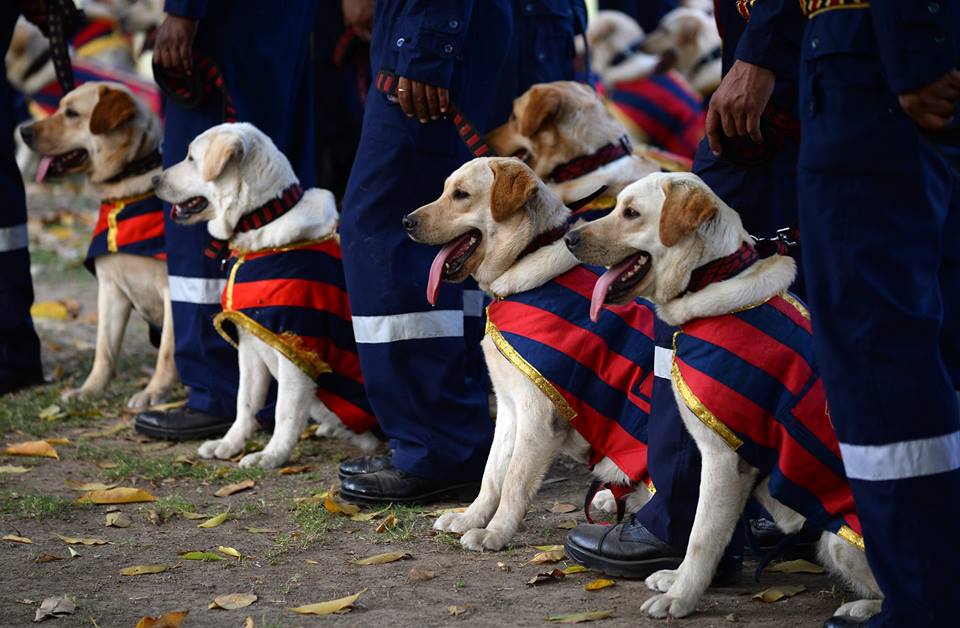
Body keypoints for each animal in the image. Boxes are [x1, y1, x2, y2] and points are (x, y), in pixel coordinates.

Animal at [20, 82, 176, 408]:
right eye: (58, 107)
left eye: (71, 114)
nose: (23, 131)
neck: (125, 194)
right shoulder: (110, 288)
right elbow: (104, 350)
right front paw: (89, 390)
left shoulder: (174, 289)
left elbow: (168, 352)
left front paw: (154, 392)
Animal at [155, 124, 378, 466]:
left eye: (192, 158)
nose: (154, 180)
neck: (262, 221)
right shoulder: (249, 342)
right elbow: (245, 402)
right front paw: (230, 444)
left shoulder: (296, 349)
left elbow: (284, 411)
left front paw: (271, 455)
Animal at [402, 159, 656, 552]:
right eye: (445, 190)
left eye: (461, 194)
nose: (406, 221)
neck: (524, 263)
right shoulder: (508, 407)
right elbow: (492, 474)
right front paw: (470, 518)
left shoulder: (538, 414)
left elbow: (514, 481)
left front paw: (495, 533)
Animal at [568, 173, 880, 624]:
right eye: (617, 205)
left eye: (631, 213)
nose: (569, 238)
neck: (710, 277)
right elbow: (705, 528)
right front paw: (677, 578)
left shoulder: (725, 458)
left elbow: (702, 535)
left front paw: (680, 597)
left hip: (839, 539)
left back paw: (861, 609)